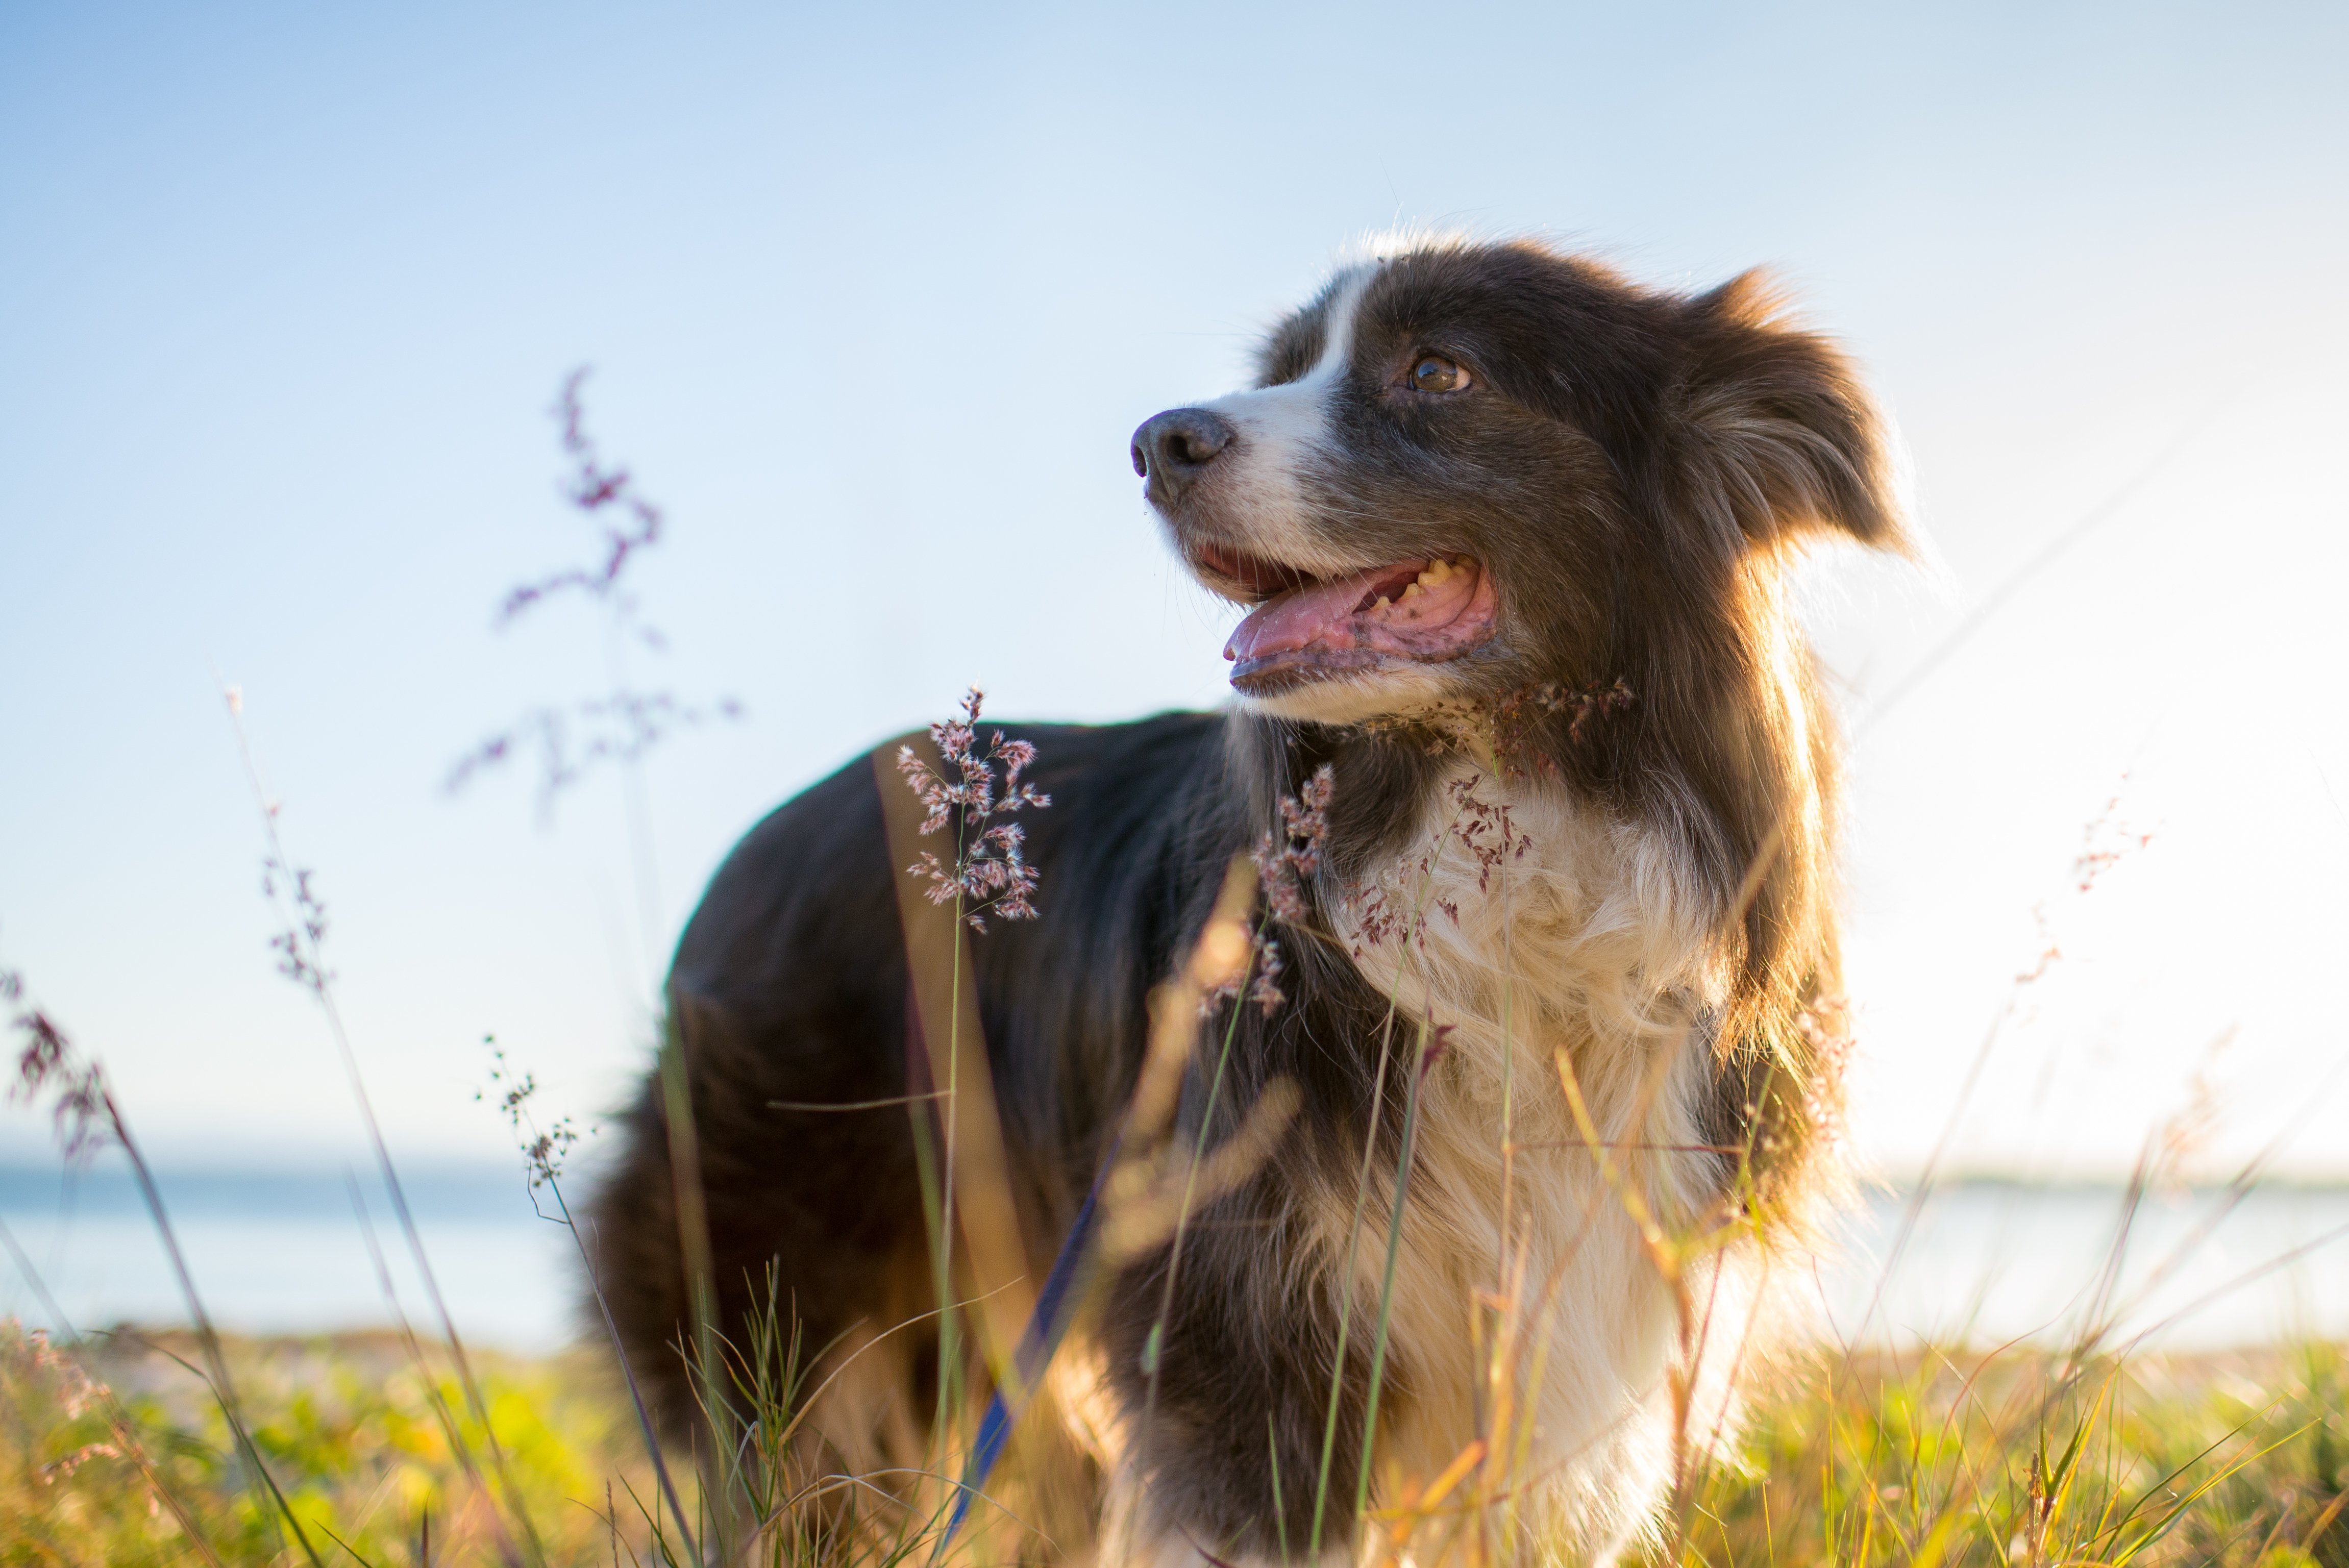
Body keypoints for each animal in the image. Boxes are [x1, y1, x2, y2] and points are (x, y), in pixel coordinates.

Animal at [587, 226, 1907, 1558]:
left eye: (1439, 371)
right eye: (1279, 370)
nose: (1157, 443)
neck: (1501, 830)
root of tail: (757, 846)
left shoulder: (1588, 1352)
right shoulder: (1243, 1328)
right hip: (802, 1292)